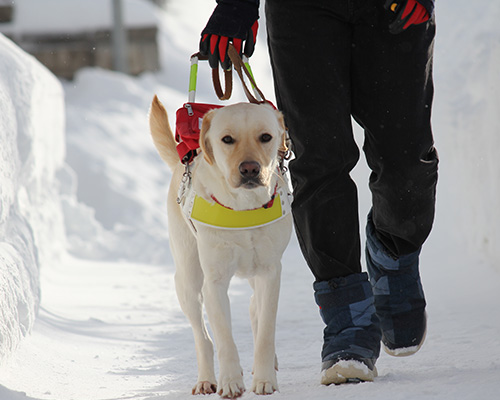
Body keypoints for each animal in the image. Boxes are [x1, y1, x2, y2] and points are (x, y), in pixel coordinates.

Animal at [150, 96, 294, 396]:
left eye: (266, 137)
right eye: (227, 139)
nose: (250, 169)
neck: (243, 208)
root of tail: (182, 163)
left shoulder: (270, 271)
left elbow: (266, 331)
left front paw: (264, 379)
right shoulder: (214, 282)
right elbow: (224, 338)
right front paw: (230, 382)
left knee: (253, 308)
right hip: (188, 280)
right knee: (202, 336)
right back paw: (206, 379)